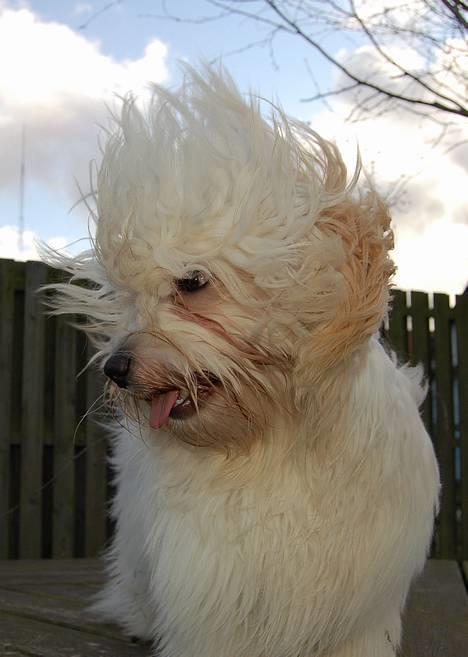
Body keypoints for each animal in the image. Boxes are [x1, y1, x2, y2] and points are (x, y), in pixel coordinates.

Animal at [49, 68, 440, 656]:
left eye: (192, 282)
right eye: (130, 298)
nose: (115, 368)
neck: (275, 440)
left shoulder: (358, 596)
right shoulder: (212, 585)